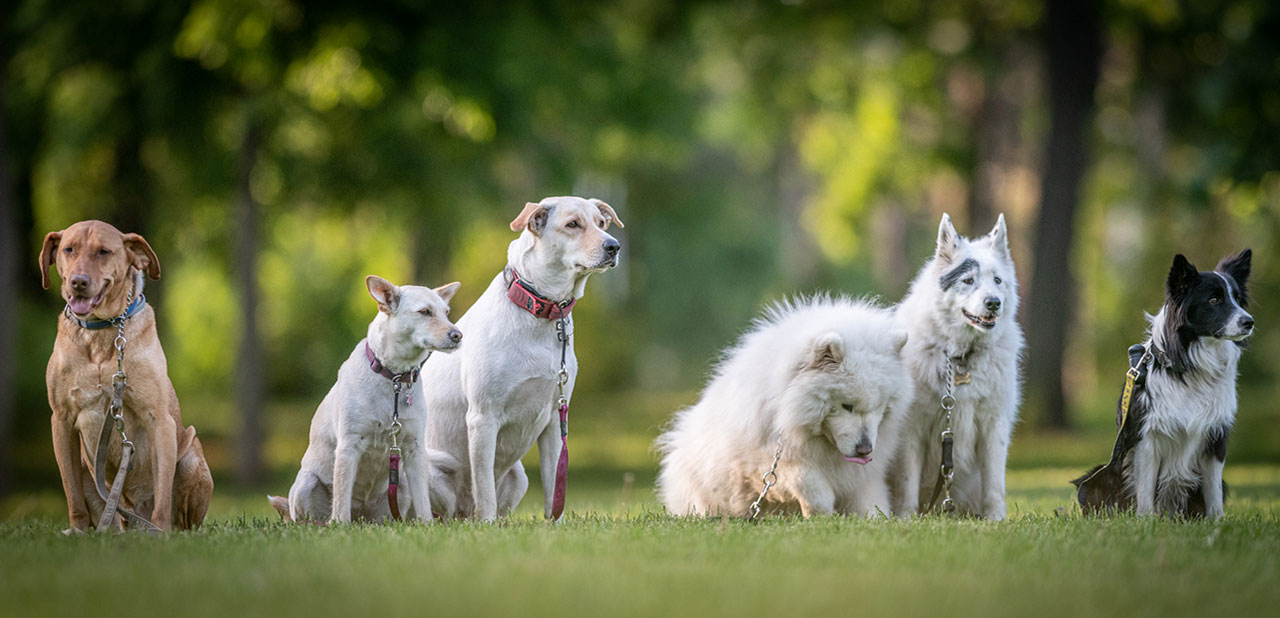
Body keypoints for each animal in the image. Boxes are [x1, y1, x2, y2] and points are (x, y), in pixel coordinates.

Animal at [40, 220, 211, 529]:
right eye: (69, 249)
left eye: (104, 252)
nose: (79, 282)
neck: (101, 331)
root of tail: (132, 514)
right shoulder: (61, 420)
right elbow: (72, 495)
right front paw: (78, 531)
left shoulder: (159, 419)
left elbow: (163, 494)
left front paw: (161, 531)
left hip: (191, 454)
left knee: (183, 520)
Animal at [268, 276, 460, 522]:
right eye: (425, 312)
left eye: (447, 312)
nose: (458, 335)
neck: (394, 378)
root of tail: (362, 514)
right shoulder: (349, 445)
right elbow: (341, 494)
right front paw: (339, 524)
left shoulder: (414, 448)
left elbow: (423, 499)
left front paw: (427, 524)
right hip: (306, 484)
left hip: (399, 486)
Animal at [424, 195, 624, 519]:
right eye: (573, 224)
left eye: (602, 223)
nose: (614, 246)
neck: (542, 315)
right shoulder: (483, 417)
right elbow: (485, 489)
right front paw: (486, 525)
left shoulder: (555, 419)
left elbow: (555, 487)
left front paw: (556, 524)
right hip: (430, 466)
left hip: (519, 476)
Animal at [660, 298, 911, 519]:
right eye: (846, 405)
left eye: (879, 407)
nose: (865, 449)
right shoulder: (769, 461)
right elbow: (809, 483)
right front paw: (820, 516)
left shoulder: (863, 477)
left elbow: (869, 503)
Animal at [885, 214, 1024, 519]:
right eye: (968, 280)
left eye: (998, 280)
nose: (993, 303)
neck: (961, 356)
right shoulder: (912, 430)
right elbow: (907, 481)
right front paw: (906, 518)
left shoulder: (994, 426)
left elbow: (995, 482)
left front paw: (996, 519)